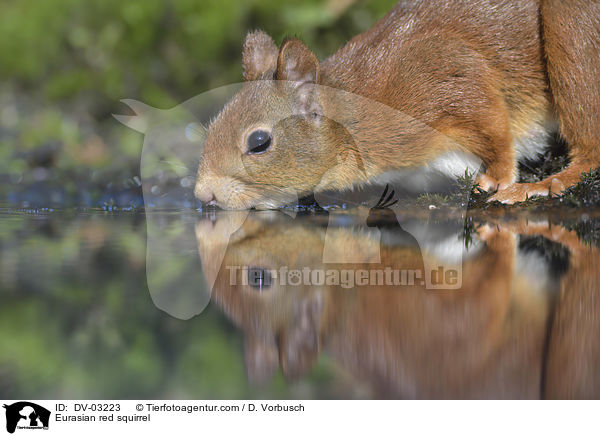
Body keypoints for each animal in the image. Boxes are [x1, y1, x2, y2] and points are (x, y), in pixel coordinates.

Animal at [196, 1, 600, 209]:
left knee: (590, 151)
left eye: (259, 143)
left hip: (573, 34)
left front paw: (498, 178)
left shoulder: (447, 72)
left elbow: (495, 131)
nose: (203, 194)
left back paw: (548, 183)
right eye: (211, 126)